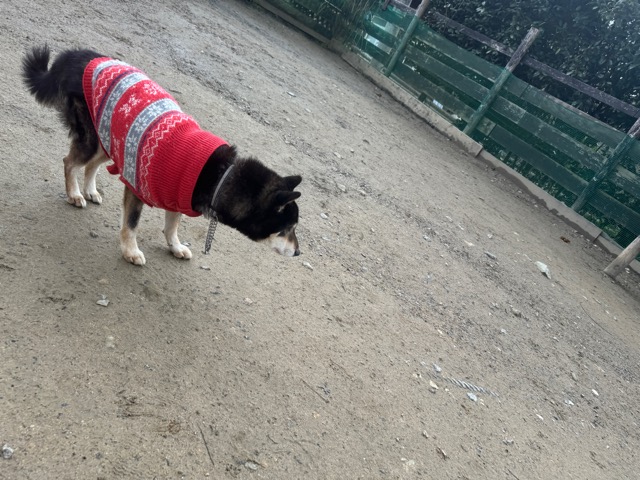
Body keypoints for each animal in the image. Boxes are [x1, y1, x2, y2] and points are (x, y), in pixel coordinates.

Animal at [22, 45, 301, 265]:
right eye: (289, 228)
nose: (298, 252)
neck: (220, 176)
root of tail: (82, 56)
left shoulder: (177, 197)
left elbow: (172, 226)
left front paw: (175, 246)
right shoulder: (137, 187)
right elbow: (131, 224)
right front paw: (130, 251)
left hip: (111, 140)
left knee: (92, 166)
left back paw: (90, 191)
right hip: (93, 139)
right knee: (70, 162)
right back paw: (75, 194)